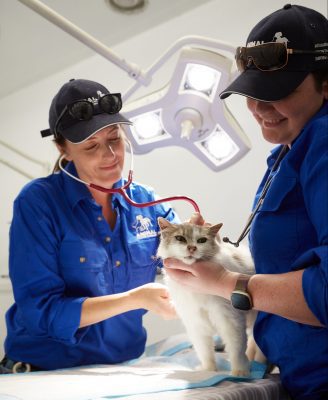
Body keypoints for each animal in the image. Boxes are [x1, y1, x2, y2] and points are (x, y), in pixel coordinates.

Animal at [157, 217, 264, 376]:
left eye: (201, 240)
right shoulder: (195, 324)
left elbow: (237, 350)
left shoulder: (230, 321)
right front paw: (208, 370)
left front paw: (240, 372)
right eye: (180, 238)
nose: (192, 248)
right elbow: (205, 352)